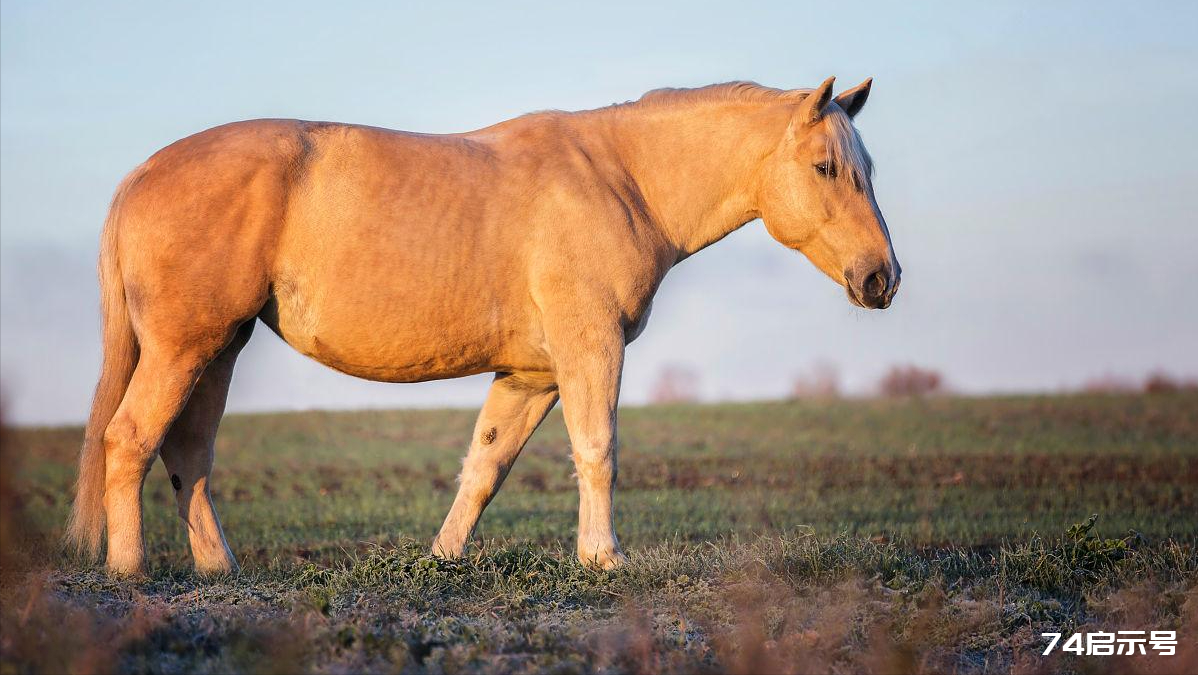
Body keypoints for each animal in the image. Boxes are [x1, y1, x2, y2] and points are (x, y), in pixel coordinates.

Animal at [65, 77, 900, 575]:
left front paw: (443, 557)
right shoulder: (589, 349)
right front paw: (603, 558)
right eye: (826, 167)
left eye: (867, 168)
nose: (881, 278)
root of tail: (142, 173)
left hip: (218, 349)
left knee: (187, 453)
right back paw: (129, 570)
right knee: (130, 440)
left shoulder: (529, 375)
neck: (620, 178)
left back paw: (218, 567)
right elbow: (598, 450)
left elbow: (485, 466)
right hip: (184, 349)